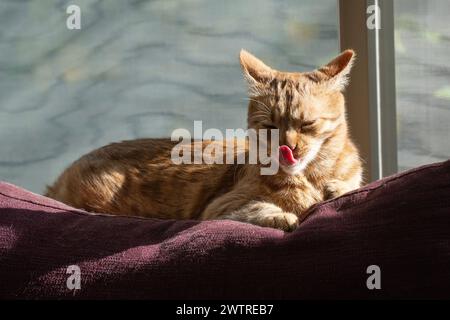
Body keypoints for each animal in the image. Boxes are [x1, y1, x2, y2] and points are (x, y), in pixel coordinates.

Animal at [45, 49, 362, 230]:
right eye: (270, 126)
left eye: (307, 123)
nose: (288, 147)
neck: (310, 177)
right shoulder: (218, 208)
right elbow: (256, 208)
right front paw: (284, 216)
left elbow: (349, 185)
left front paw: (337, 188)